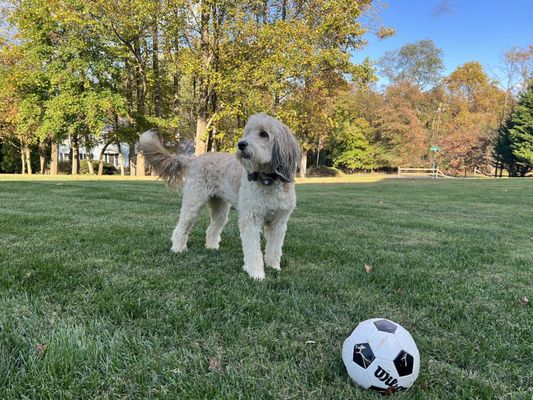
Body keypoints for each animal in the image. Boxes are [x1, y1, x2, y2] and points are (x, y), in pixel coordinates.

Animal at [139, 112, 302, 280]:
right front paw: (256, 274)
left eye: (264, 134)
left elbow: (275, 248)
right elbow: (253, 250)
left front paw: (274, 267)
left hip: (220, 210)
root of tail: (194, 159)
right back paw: (178, 248)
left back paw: (211, 248)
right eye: (248, 132)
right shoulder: (251, 219)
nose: (241, 144)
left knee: (212, 228)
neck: (268, 180)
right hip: (193, 204)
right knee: (181, 227)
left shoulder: (279, 222)